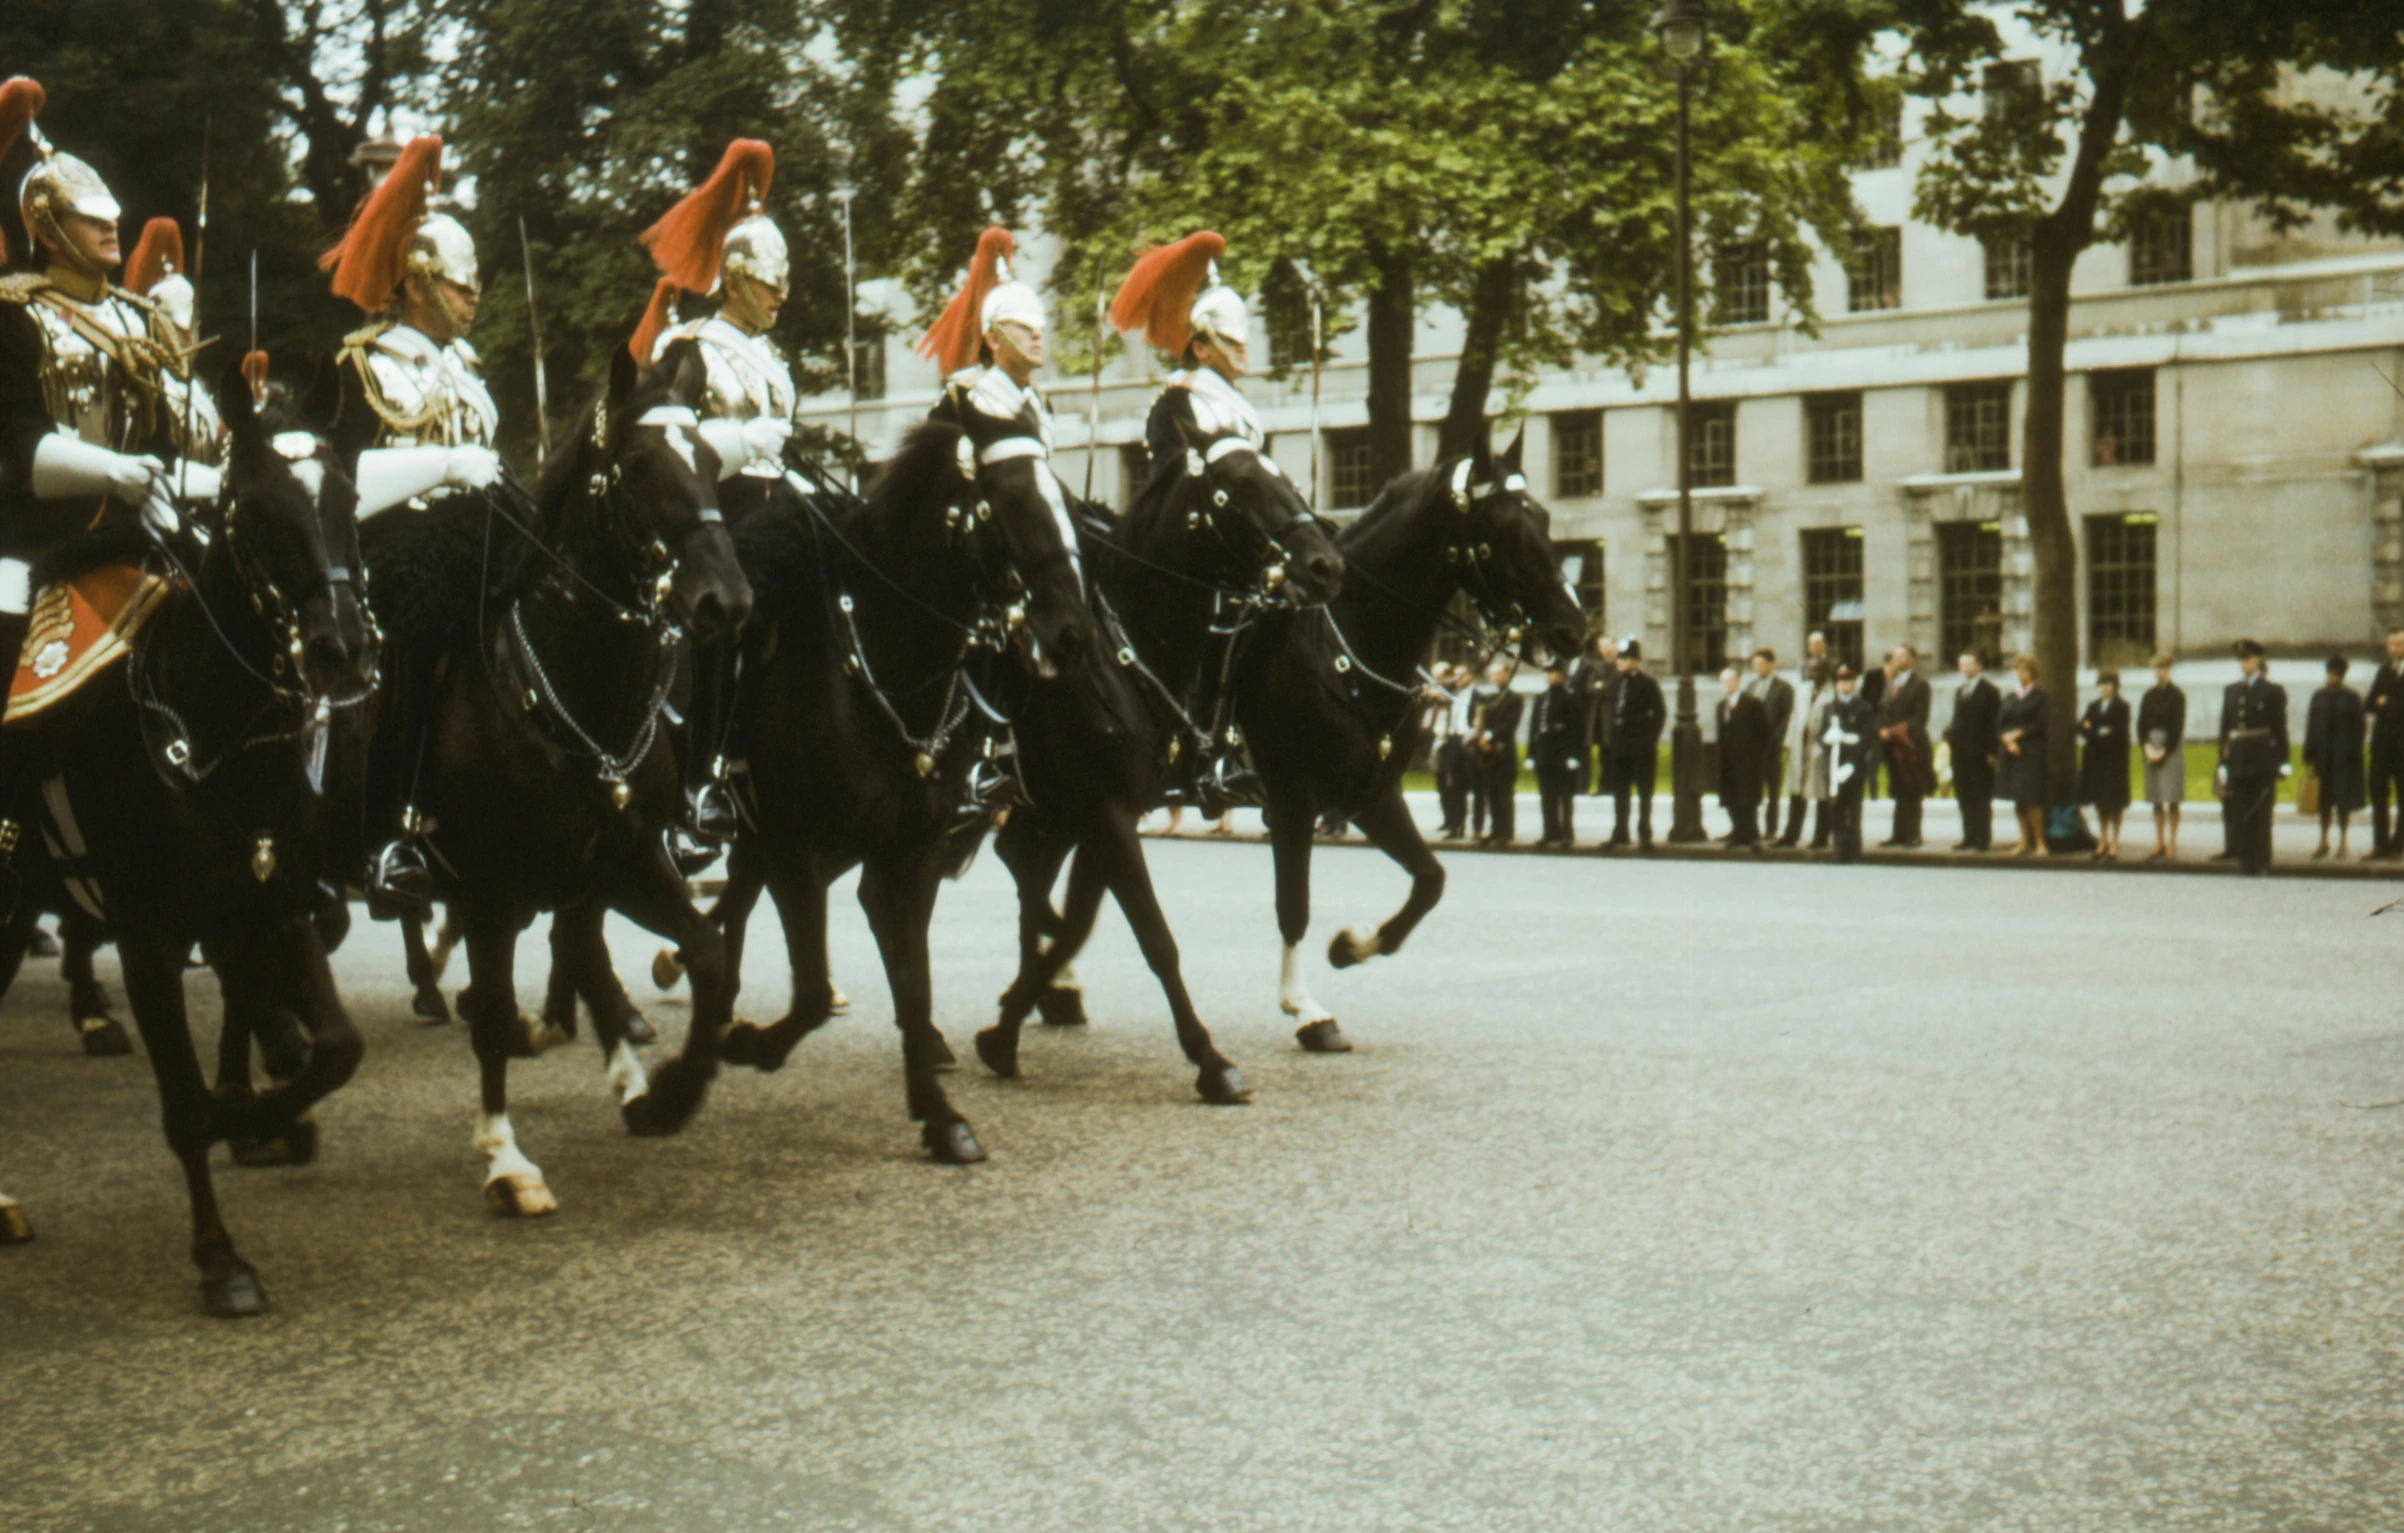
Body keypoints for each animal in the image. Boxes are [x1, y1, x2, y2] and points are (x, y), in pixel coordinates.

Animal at [8, 365, 379, 1316]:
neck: (211, 728)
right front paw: (221, 1257)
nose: (340, 651)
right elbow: (181, 1106)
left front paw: (259, 1110)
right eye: (252, 509)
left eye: (348, 497)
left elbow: (335, 1046)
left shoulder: (275, 899)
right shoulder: (149, 938)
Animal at [355, 341, 745, 1220]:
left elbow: (706, 952)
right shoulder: (493, 886)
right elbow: (498, 1003)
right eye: (640, 466)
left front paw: (671, 1092)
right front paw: (506, 1159)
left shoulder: (625, 858)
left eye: (710, 461)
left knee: (580, 950)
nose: (727, 602)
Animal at [697, 398, 1101, 1162]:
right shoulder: (796, 848)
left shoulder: (906, 850)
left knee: (727, 910)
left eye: (1062, 498)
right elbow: (815, 991)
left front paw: (940, 1115)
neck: (884, 663)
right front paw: (753, 1046)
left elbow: (914, 981)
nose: (1073, 635)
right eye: (1007, 501)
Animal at [976, 413, 1355, 1100]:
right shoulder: (1103, 812)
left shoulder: (1108, 811)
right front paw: (1211, 1060)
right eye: (1236, 487)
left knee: (1021, 869)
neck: (1124, 652)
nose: (1327, 566)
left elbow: (1078, 923)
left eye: (1284, 476)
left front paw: (1008, 1025)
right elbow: (1152, 937)